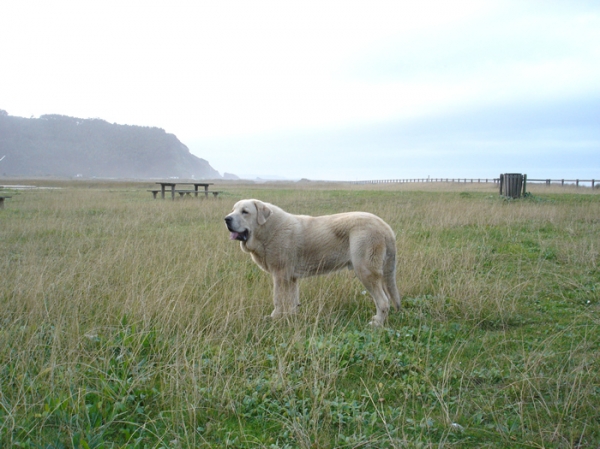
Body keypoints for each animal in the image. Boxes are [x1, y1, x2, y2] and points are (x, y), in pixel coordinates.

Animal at [223, 199, 400, 322]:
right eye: (233, 210)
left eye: (245, 211)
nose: (226, 219)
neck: (266, 229)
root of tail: (385, 227)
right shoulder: (290, 278)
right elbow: (292, 299)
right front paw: (292, 317)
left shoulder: (280, 275)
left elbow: (278, 299)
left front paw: (275, 317)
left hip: (365, 271)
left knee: (383, 301)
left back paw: (377, 324)